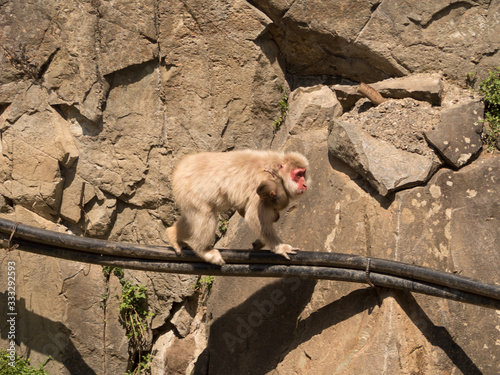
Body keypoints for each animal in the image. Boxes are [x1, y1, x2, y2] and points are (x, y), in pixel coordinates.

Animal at [166, 148, 310, 266]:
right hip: (189, 189)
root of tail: (178, 170)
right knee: (205, 213)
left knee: (193, 217)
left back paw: (172, 235)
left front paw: (261, 242)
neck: (277, 170)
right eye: (298, 175)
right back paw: (204, 251)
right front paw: (280, 247)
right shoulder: (264, 182)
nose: (304, 184)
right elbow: (253, 216)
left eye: (303, 174)